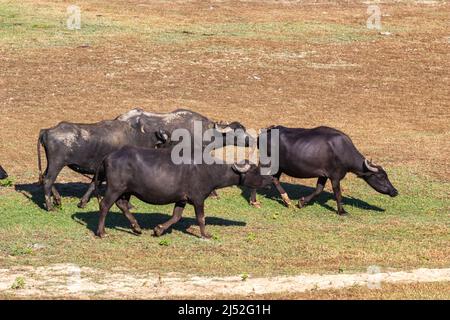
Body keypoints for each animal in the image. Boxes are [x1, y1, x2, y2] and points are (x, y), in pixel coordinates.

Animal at [35, 109, 253, 211]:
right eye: (238, 131)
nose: (252, 139)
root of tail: (47, 131)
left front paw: (83, 202)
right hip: (57, 163)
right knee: (48, 180)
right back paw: (50, 205)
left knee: (44, 178)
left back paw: (57, 200)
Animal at [94, 146, 274, 239]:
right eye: (255, 170)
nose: (270, 179)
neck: (210, 170)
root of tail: (107, 157)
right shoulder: (199, 198)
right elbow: (201, 218)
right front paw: (205, 234)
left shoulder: (181, 199)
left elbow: (176, 217)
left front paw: (158, 229)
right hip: (115, 188)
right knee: (104, 205)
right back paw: (102, 232)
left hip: (126, 190)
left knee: (122, 205)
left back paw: (136, 227)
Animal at [250, 125, 398, 215]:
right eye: (381, 177)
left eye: (386, 175)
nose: (395, 191)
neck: (342, 150)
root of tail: (266, 132)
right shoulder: (335, 176)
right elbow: (338, 194)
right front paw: (342, 211)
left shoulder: (323, 175)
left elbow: (318, 190)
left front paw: (301, 202)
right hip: (267, 163)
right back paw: (254, 202)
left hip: (279, 167)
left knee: (275, 179)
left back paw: (287, 201)